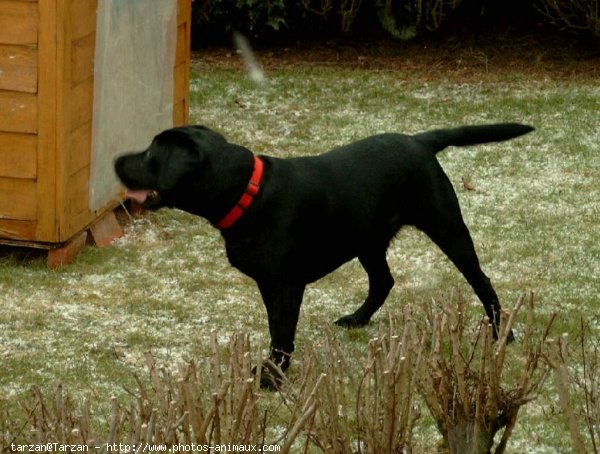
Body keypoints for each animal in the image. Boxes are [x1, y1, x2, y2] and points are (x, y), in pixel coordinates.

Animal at [116, 122, 536, 384]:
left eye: (151, 153)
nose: (116, 160)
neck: (246, 193)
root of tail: (420, 140)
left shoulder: (285, 285)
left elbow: (281, 333)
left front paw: (272, 377)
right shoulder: (271, 284)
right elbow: (276, 329)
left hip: (445, 225)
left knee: (480, 279)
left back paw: (501, 333)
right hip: (368, 237)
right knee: (383, 281)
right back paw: (358, 319)